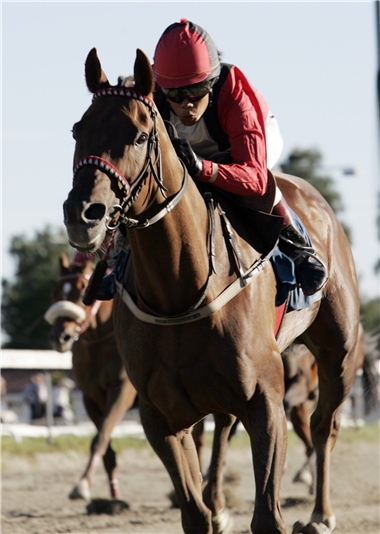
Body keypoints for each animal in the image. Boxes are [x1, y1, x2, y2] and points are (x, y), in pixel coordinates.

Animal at [45, 254, 137, 502]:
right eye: (56, 291)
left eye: (81, 288)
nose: (60, 337)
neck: (99, 341)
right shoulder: (91, 396)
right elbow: (105, 444)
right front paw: (113, 493)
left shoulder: (123, 390)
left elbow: (101, 438)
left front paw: (83, 483)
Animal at [63, 48, 360, 532]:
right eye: (78, 130)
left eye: (140, 136)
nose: (83, 213)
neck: (177, 290)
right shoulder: (159, 416)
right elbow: (194, 513)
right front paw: (210, 509)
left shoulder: (267, 403)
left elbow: (268, 515)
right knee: (224, 427)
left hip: (340, 353)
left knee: (323, 425)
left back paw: (320, 513)